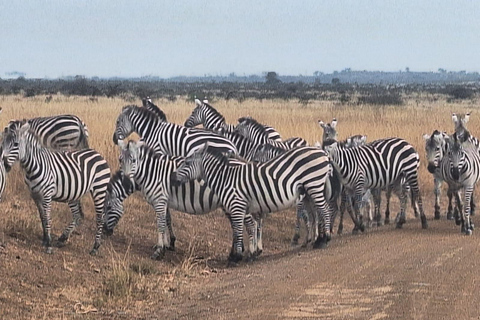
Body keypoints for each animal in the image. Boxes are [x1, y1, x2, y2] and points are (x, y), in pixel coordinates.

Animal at [1, 121, 109, 254]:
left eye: (16, 144)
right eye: (2, 142)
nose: (4, 164)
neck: (34, 166)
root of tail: (98, 154)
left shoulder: (47, 194)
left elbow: (48, 218)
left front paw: (48, 244)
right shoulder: (35, 195)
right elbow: (42, 217)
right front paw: (45, 239)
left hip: (99, 189)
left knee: (100, 218)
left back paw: (95, 246)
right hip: (74, 193)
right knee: (77, 216)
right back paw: (63, 238)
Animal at [172, 144, 334, 262]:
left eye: (186, 162)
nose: (173, 178)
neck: (225, 179)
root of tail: (322, 152)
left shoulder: (237, 205)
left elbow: (239, 230)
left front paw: (237, 257)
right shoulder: (241, 207)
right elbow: (246, 228)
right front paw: (249, 253)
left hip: (314, 184)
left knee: (324, 209)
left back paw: (325, 239)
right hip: (308, 190)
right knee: (317, 213)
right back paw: (316, 241)